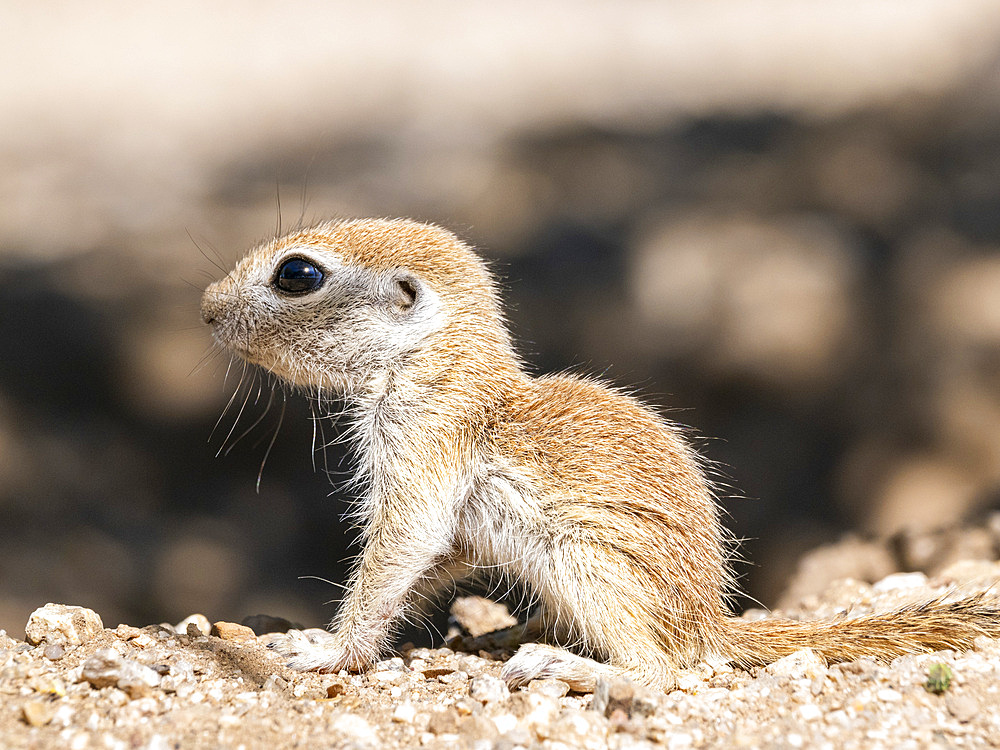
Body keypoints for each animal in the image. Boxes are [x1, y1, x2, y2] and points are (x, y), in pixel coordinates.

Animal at [201, 217, 1000, 692]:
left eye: (298, 273)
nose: (206, 308)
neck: (438, 365)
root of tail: (709, 620)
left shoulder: (423, 443)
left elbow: (402, 543)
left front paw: (327, 652)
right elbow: (437, 556)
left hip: (588, 563)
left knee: (662, 670)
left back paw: (570, 664)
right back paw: (519, 630)